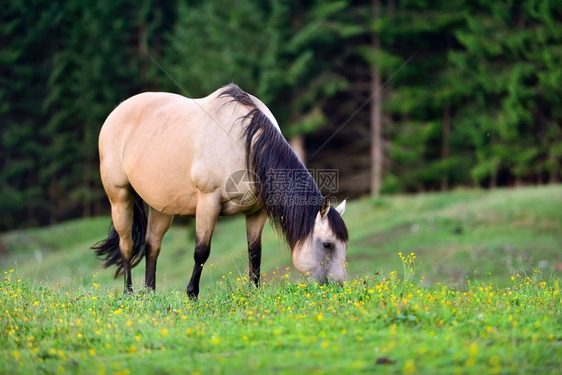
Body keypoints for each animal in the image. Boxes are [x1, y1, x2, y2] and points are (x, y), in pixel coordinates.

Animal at [91, 83, 346, 298]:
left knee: (152, 246)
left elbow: (255, 252)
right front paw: (192, 294)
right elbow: (201, 251)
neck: (246, 145)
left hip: (161, 207)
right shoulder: (208, 203)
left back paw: (150, 295)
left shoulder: (257, 212)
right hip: (120, 197)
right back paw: (129, 294)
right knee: (127, 246)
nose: (340, 287)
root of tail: (118, 110)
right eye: (328, 244)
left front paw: (253, 291)